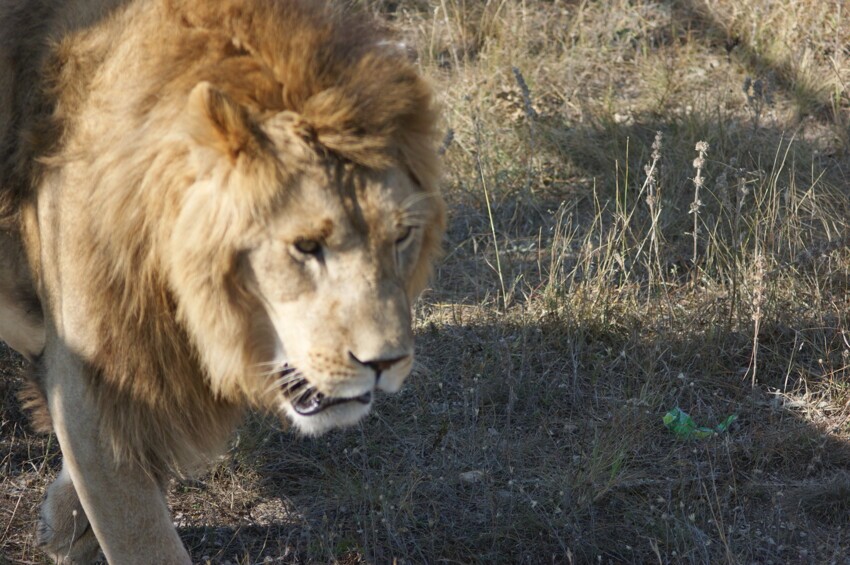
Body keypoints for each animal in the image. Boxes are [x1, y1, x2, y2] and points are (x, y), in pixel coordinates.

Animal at [0, 0, 448, 560]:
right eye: (306, 246)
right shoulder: (95, 385)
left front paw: (67, 523)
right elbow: (143, 538)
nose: (385, 363)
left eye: (401, 236)